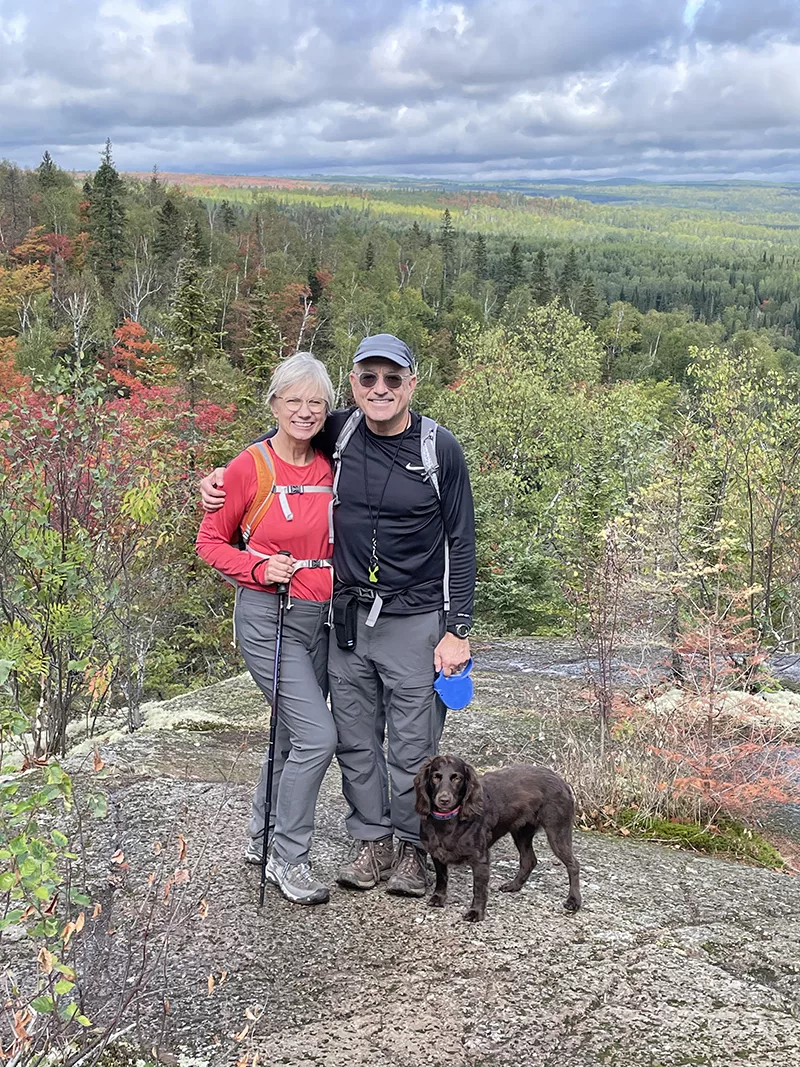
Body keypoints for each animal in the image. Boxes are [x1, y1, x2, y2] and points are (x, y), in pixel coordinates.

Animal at [413, 755, 584, 921]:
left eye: (457, 778)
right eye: (436, 777)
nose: (444, 800)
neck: (447, 822)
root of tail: (561, 780)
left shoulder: (480, 860)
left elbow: (479, 889)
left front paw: (476, 912)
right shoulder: (437, 854)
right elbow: (442, 878)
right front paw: (438, 898)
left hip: (557, 832)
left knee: (573, 865)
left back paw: (574, 901)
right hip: (521, 833)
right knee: (529, 860)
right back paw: (514, 886)